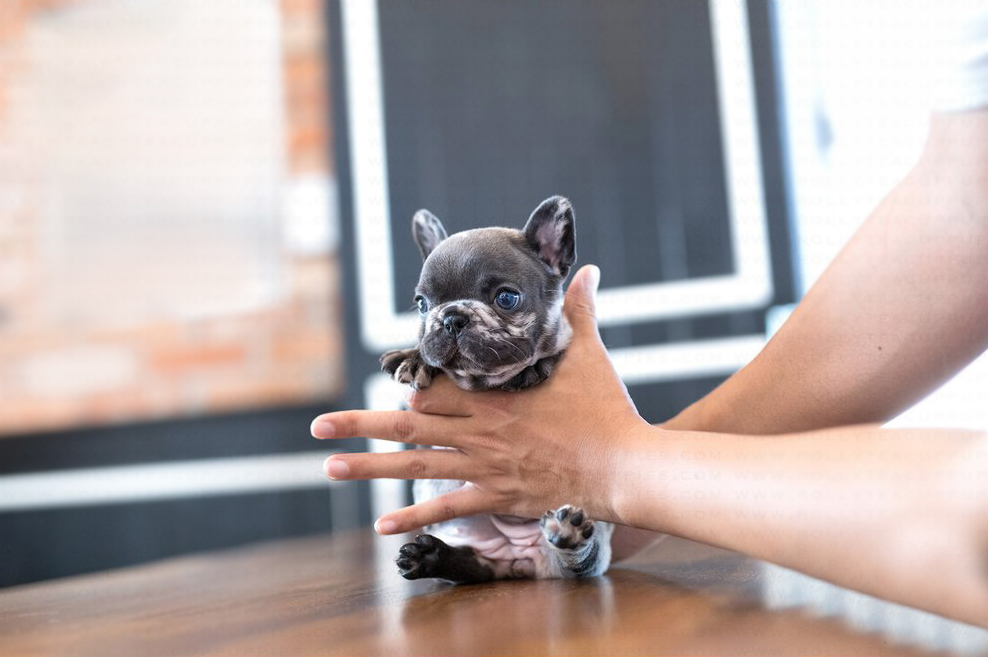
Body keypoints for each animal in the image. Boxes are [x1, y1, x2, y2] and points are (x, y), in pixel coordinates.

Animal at [382, 196, 612, 584]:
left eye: (506, 298)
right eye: (422, 304)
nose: (452, 318)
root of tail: (517, 563)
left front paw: (533, 367)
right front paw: (414, 358)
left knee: (582, 563)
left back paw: (568, 534)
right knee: (473, 567)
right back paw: (429, 557)